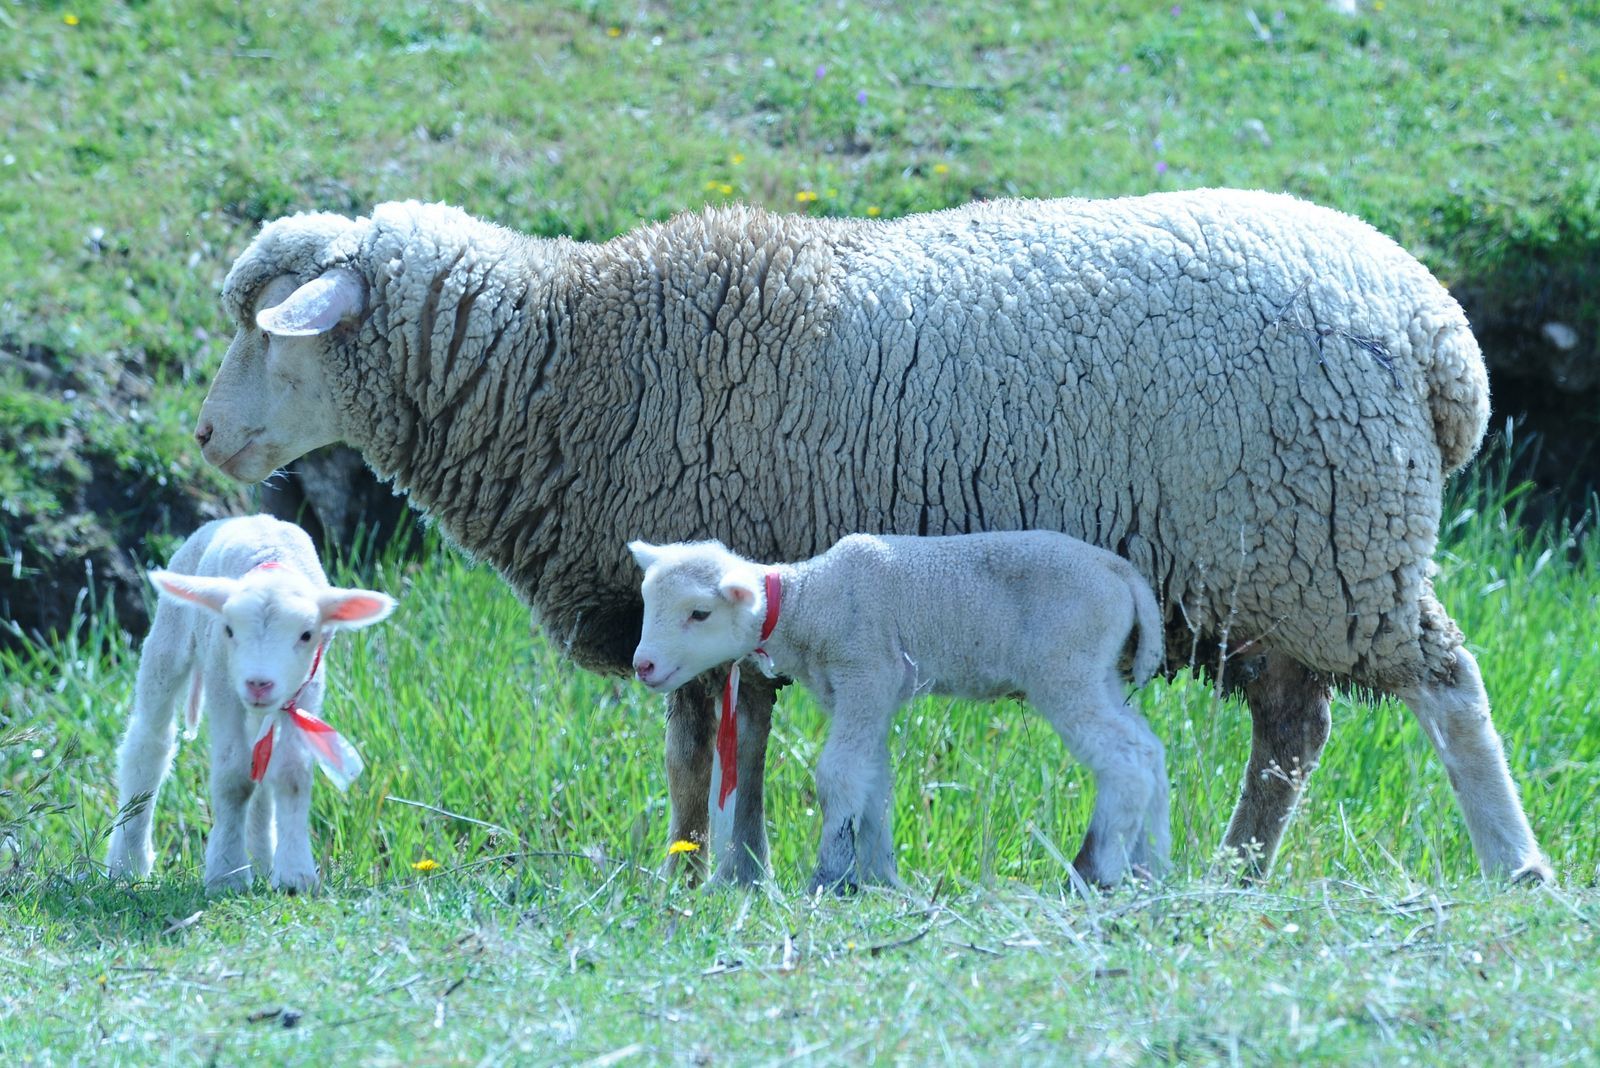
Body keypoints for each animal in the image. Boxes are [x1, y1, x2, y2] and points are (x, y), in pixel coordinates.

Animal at [105, 515, 396, 893]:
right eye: (229, 630)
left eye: (306, 635)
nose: (258, 683)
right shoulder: (223, 685)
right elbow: (233, 777)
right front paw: (226, 874)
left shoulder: (305, 690)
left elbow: (290, 774)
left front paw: (294, 875)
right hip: (169, 639)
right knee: (150, 744)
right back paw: (128, 863)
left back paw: (262, 860)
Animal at [630, 533, 1168, 890]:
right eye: (646, 603)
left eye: (699, 613)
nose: (643, 665)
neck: (810, 601)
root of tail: (1121, 573)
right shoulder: (867, 696)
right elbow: (872, 781)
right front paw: (879, 877)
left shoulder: (866, 672)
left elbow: (839, 774)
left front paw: (830, 875)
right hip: (1098, 670)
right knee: (1149, 749)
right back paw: (1151, 866)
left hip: (1065, 666)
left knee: (1124, 759)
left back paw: (1096, 870)